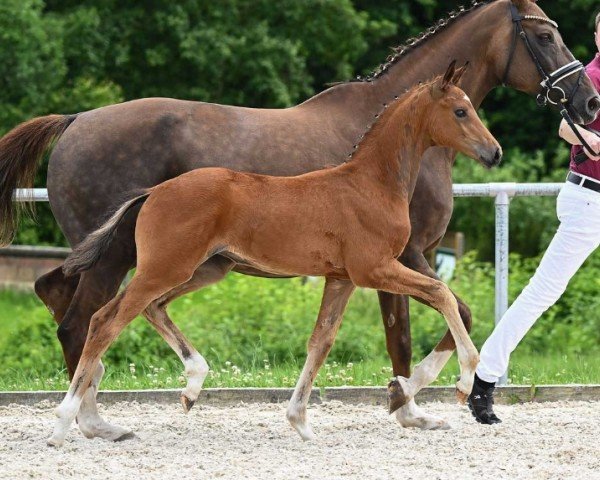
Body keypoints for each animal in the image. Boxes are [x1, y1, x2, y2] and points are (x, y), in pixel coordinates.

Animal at [49, 63, 502, 446]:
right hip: (165, 268)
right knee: (103, 321)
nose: (494, 152)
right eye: (460, 111)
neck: (371, 183)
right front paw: (462, 381)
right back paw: (67, 422)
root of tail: (152, 193)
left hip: (197, 271)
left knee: (150, 308)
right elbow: (443, 296)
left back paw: (192, 385)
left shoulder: (341, 278)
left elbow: (321, 341)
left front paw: (300, 422)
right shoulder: (375, 269)